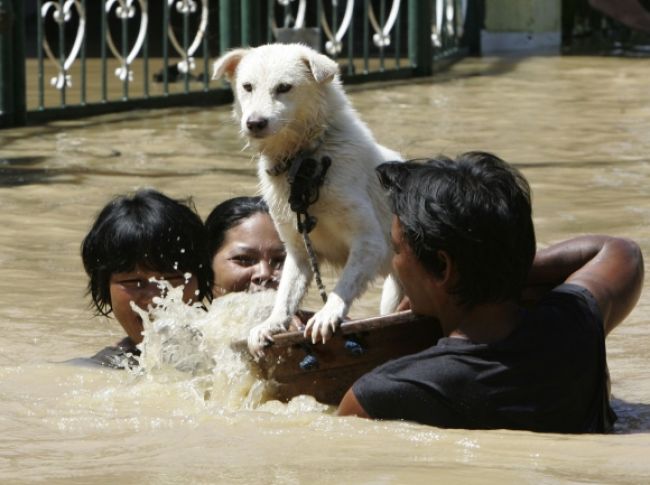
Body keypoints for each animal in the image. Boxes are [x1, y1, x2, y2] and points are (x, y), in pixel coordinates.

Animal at [213, 43, 402, 356]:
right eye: (247, 86)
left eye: (284, 87)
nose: (254, 123)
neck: (306, 164)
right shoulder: (298, 247)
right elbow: (286, 294)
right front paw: (271, 324)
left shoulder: (370, 241)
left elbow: (344, 284)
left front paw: (327, 313)